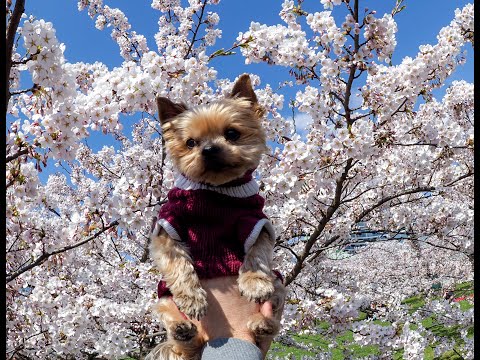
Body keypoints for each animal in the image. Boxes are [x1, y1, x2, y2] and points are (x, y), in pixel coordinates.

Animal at [144, 74, 284, 358]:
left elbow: (258, 252)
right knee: (177, 326)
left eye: (232, 133)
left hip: (279, 285)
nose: (208, 150)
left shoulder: (255, 220)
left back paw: (262, 324)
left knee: (271, 309)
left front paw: (254, 283)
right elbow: (177, 262)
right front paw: (193, 299)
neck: (217, 190)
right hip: (164, 297)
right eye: (190, 143)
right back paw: (183, 330)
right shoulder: (168, 225)